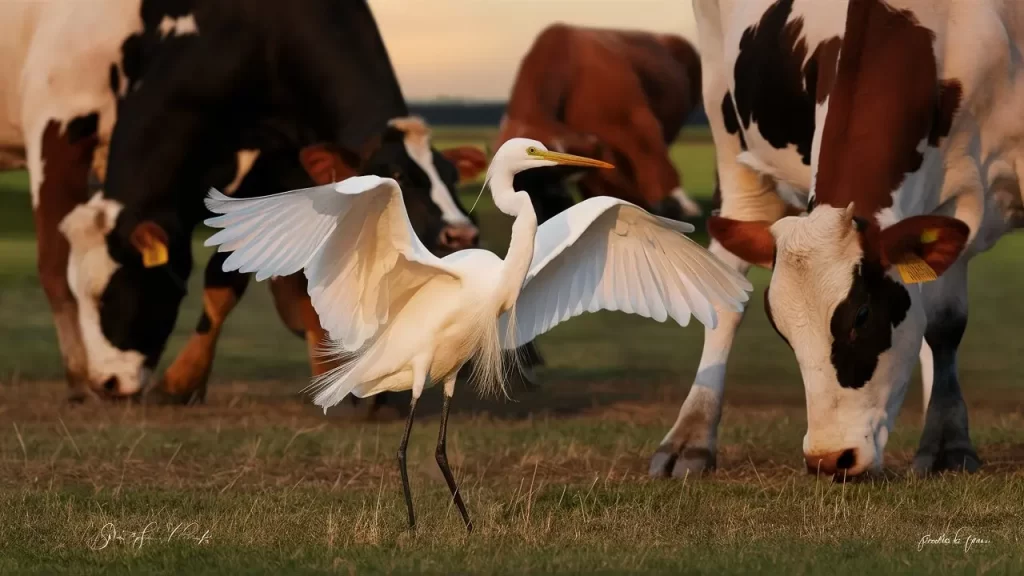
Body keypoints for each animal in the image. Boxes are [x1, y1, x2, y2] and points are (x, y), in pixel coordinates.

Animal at [1, 0, 485, 403]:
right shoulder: (57, 125)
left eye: (451, 178)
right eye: (398, 178)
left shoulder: (268, 164)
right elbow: (57, 268)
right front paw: (179, 382)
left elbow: (238, 279)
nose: (108, 383)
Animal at [650, 0, 1024, 478]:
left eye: (861, 315)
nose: (829, 459)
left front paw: (945, 443)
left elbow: (941, 324)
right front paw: (945, 441)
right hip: (728, 136)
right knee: (726, 295)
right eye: (782, 329)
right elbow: (942, 324)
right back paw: (689, 438)